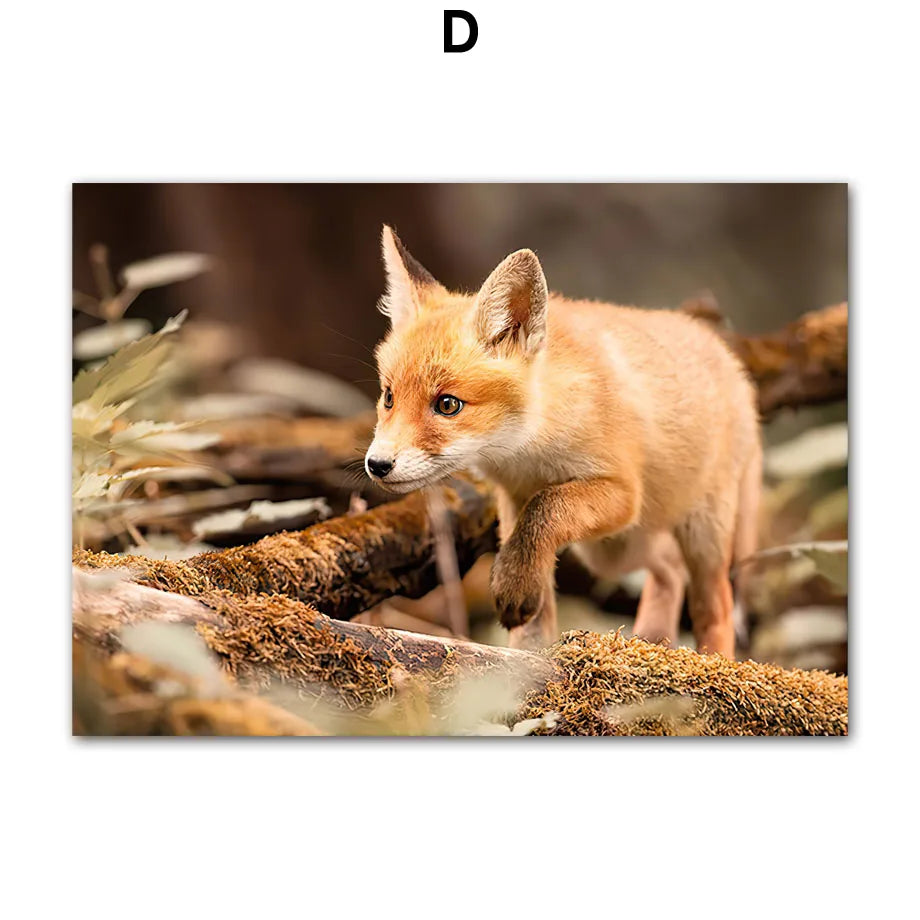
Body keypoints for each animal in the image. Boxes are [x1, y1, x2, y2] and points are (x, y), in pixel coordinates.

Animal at [365, 225, 761, 657]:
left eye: (448, 405)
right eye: (389, 397)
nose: (377, 465)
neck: (528, 451)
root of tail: (732, 363)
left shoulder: (621, 491)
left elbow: (545, 511)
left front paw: (514, 588)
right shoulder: (514, 498)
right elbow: (532, 568)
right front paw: (523, 654)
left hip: (695, 535)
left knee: (714, 605)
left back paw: (714, 660)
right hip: (615, 549)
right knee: (669, 571)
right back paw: (652, 639)